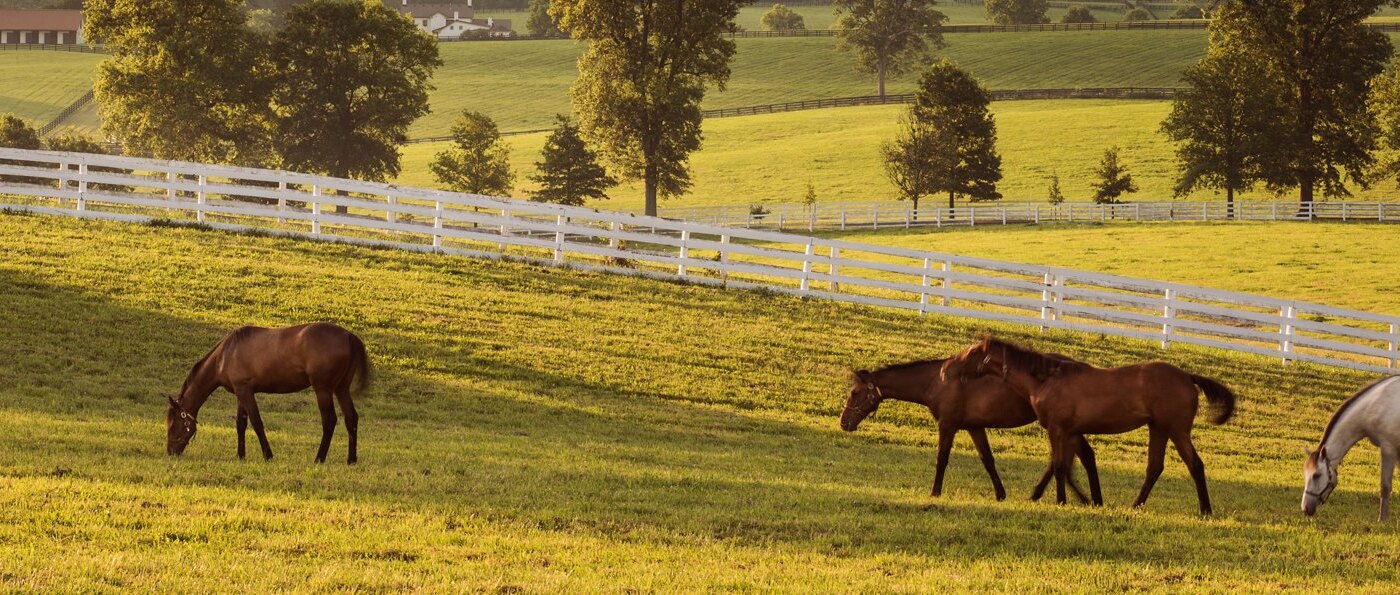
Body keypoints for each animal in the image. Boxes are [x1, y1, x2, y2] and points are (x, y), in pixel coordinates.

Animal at [164, 322, 369, 462]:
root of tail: (348, 335)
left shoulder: (246, 392)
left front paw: (268, 455)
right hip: (341, 388)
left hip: (323, 389)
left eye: (173, 424)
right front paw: (240, 455)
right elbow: (241, 424)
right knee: (351, 418)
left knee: (329, 421)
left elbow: (257, 423)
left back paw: (319, 458)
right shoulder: (240, 393)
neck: (225, 355)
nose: (170, 451)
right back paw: (351, 459)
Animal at [834, 357, 1097, 501]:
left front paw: (935, 492)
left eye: (855, 392)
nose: (843, 422)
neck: (938, 380)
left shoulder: (947, 425)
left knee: (1076, 457)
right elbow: (988, 460)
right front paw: (1000, 494)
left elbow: (941, 459)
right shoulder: (974, 427)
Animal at [952, 336, 1237, 512]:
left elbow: (1059, 467)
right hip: (1159, 429)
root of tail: (1188, 376)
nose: (950, 369)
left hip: (1176, 430)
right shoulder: (1069, 432)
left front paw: (1061, 501)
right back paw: (1139, 505)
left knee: (1194, 464)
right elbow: (1063, 466)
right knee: (1156, 467)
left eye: (972, 353)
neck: (1046, 380)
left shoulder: (1058, 430)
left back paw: (1204, 509)